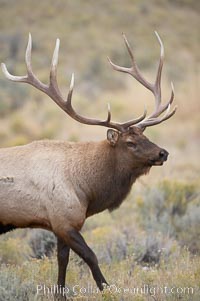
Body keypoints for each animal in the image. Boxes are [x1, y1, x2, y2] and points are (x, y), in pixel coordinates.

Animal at [0, 32, 177, 292]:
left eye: (146, 137)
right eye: (130, 142)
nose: (162, 153)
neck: (86, 189)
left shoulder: (61, 225)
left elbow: (62, 261)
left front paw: (61, 294)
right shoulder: (64, 220)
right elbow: (91, 256)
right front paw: (107, 289)